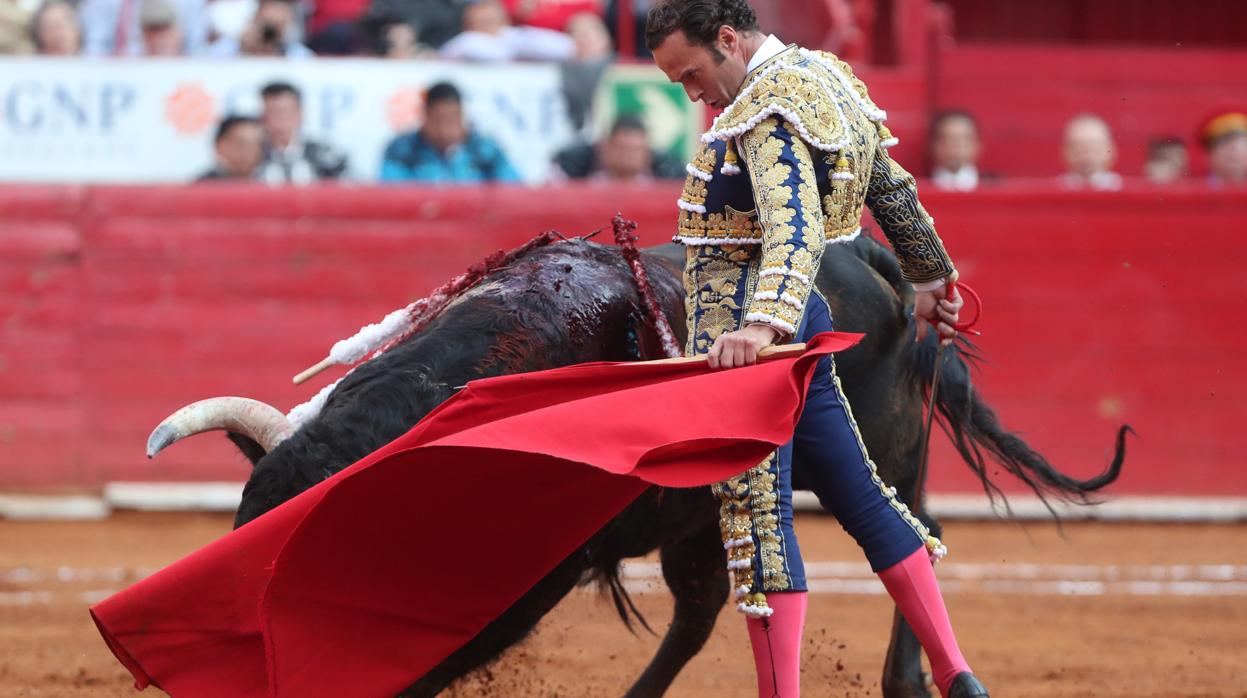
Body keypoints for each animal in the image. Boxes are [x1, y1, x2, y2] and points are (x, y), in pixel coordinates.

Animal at [150, 235, 1127, 698]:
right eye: (244, 533)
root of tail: (868, 257)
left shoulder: (526, 575)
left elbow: (424, 659)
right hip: (695, 516)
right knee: (700, 613)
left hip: (881, 446)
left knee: (907, 532)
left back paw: (915, 679)